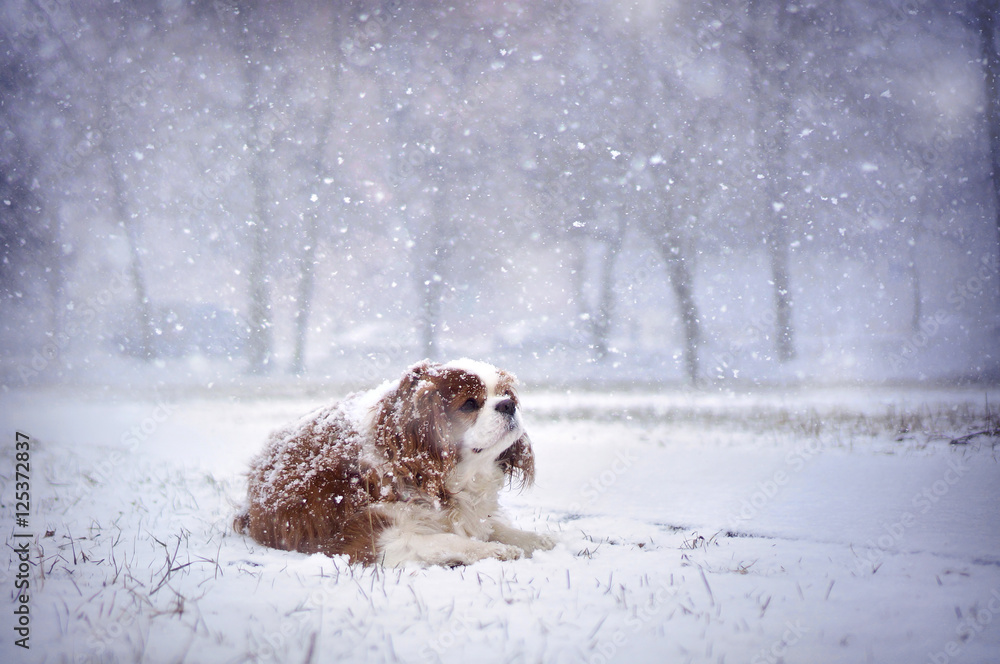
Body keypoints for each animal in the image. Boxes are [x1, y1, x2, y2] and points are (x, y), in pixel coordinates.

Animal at [234, 358, 556, 564]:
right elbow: (443, 540)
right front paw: (494, 551)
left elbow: (491, 527)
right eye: (469, 404)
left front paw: (535, 540)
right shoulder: (364, 541)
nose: (509, 405)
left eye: (506, 394)